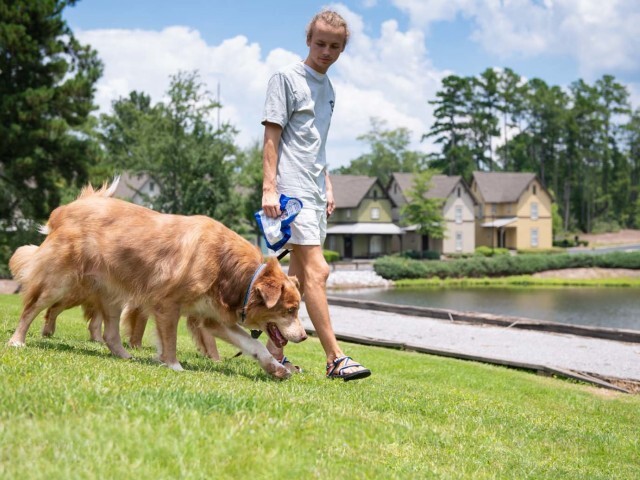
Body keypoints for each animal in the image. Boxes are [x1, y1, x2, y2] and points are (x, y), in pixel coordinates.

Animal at [6, 178, 304, 376]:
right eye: (290, 310)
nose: (303, 337)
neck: (230, 269)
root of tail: (68, 208)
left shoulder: (212, 318)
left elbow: (253, 344)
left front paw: (274, 367)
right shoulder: (167, 304)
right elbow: (169, 339)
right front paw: (173, 365)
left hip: (112, 293)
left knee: (110, 333)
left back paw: (125, 356)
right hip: (61, 282)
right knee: (32, 307)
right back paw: (17, 341)